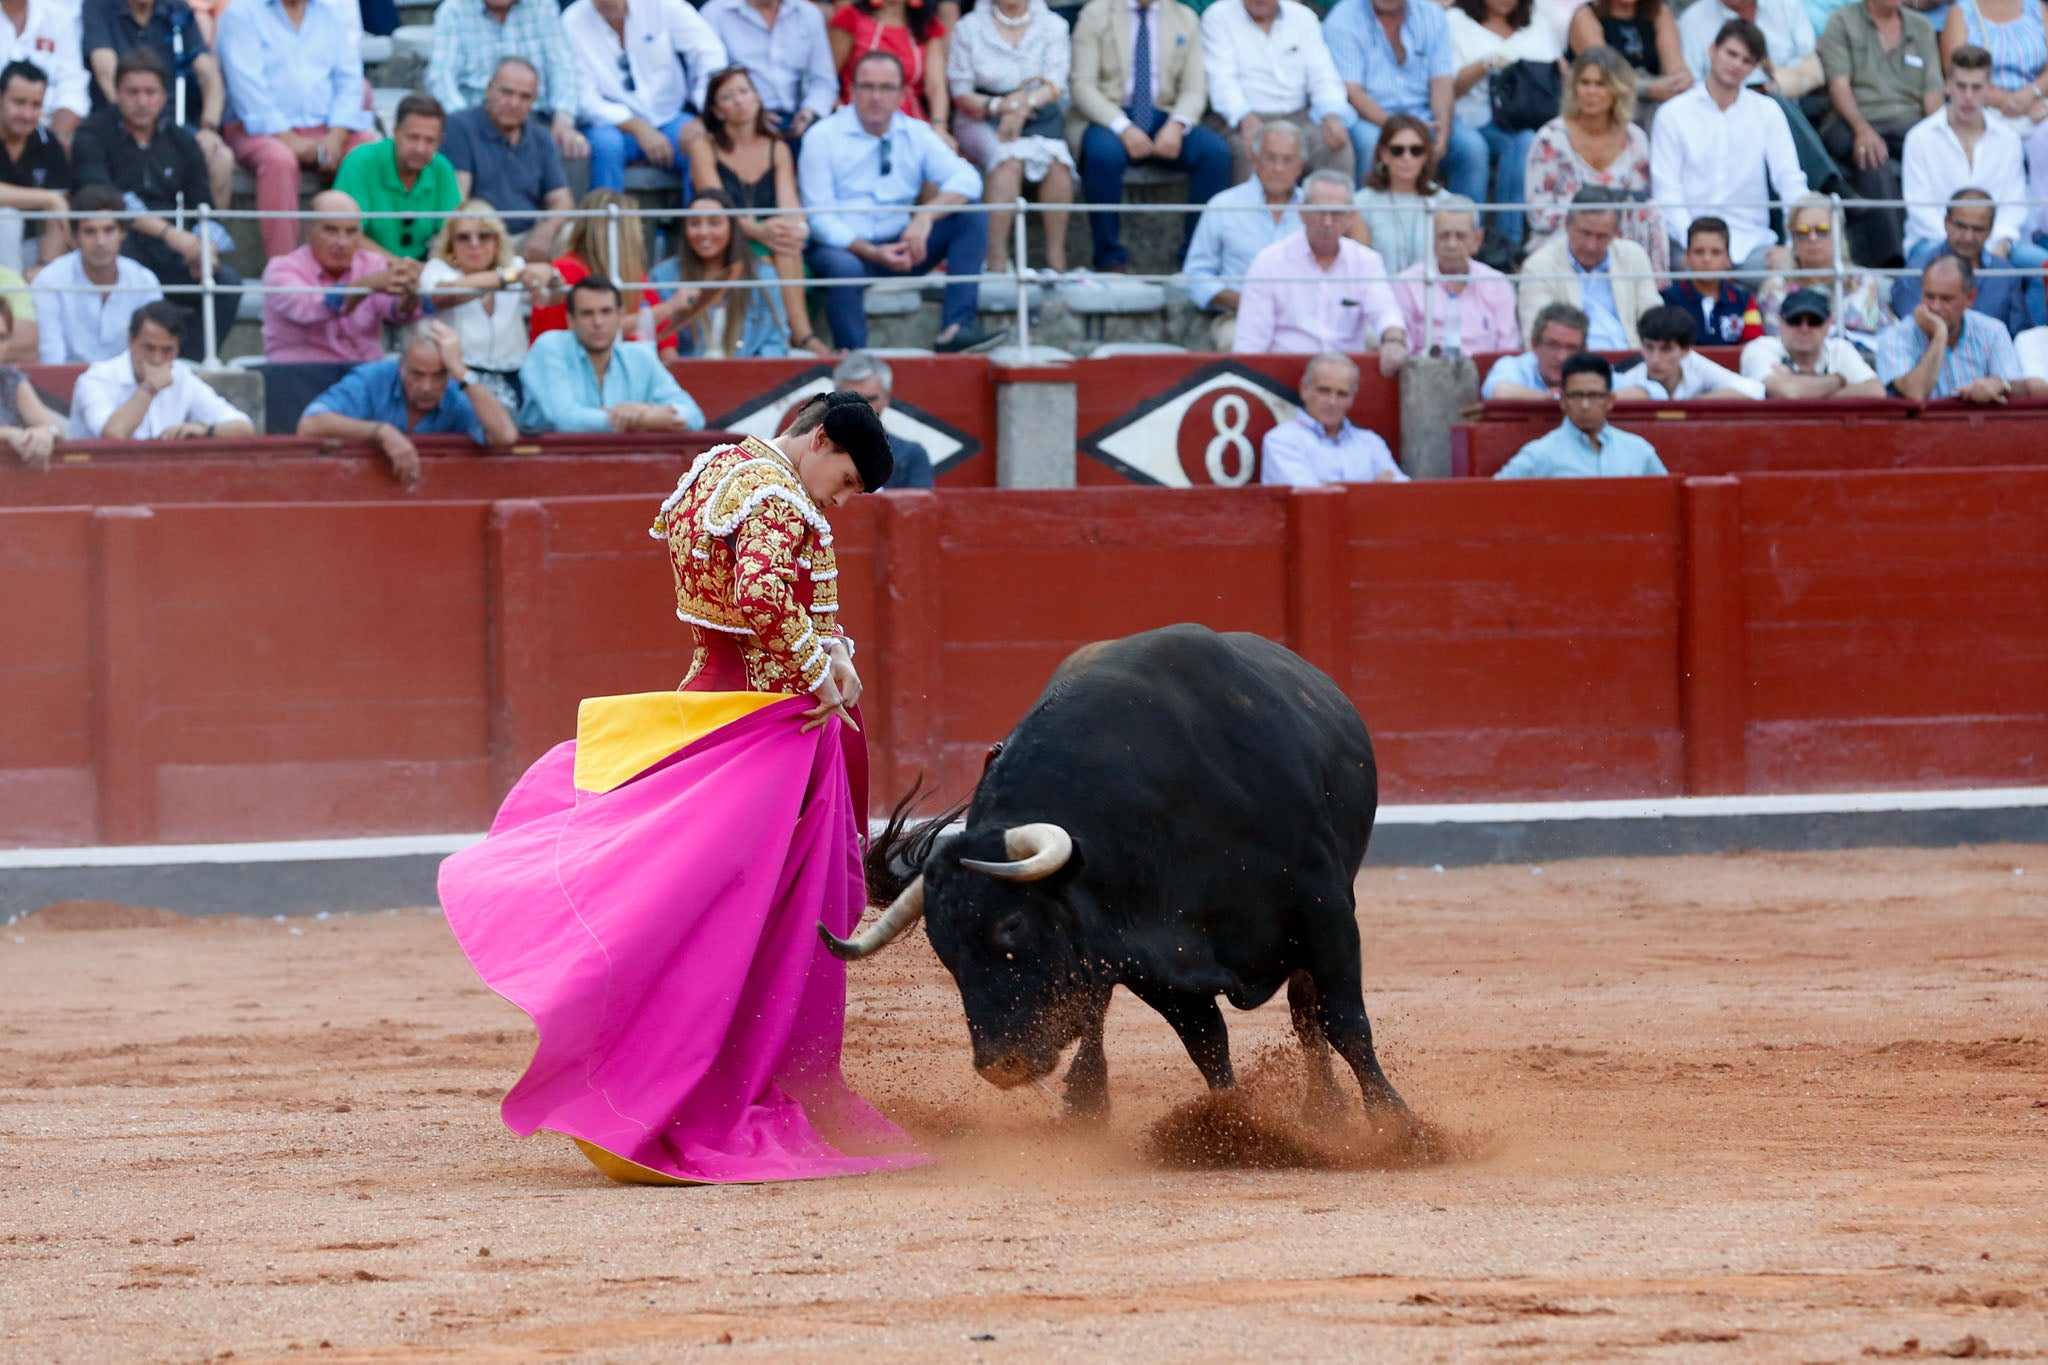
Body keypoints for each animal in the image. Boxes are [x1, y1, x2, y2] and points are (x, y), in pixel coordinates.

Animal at [819, 626, 1409, 1121]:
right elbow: (1207, 1042)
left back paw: (1325, 1109)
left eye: (1011, 924)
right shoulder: (1152, 958)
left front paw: (1396, 1124)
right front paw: (1229, 1122)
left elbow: (1344, 1023)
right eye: (943, 949)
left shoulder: (1326, 912)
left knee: (1307, 1015)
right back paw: (1087, 1108)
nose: (1001, 1064)